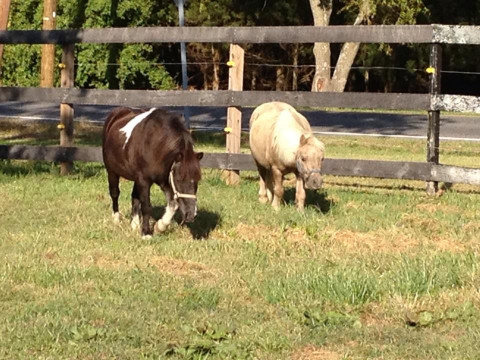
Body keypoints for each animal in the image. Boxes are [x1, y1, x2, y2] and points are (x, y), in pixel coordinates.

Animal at [102, 105, 202, 238]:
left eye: (197, 180)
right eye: (179, 179)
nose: (191, 214)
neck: (155, 146)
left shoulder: (164, 181)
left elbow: (173, 205)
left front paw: (160, 226)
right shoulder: (144, 181)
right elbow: (146, 206)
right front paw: (146, 233)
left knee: (134, 197)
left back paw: (135, 224)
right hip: (112, 171)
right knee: (114, 193)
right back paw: (116, 219)